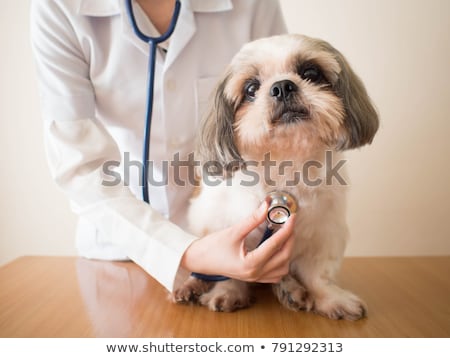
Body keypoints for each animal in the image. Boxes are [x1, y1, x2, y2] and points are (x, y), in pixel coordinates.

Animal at [174, 33, 378, 320]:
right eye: (251, 89)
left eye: (310, 73)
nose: (282, 86)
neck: (285, 164)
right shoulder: (224, 230)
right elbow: (229, 272)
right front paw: (228, 293)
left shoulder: (325, 233)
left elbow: (318, 274)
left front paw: (329, 298)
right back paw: (191, 287)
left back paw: (291, 290)